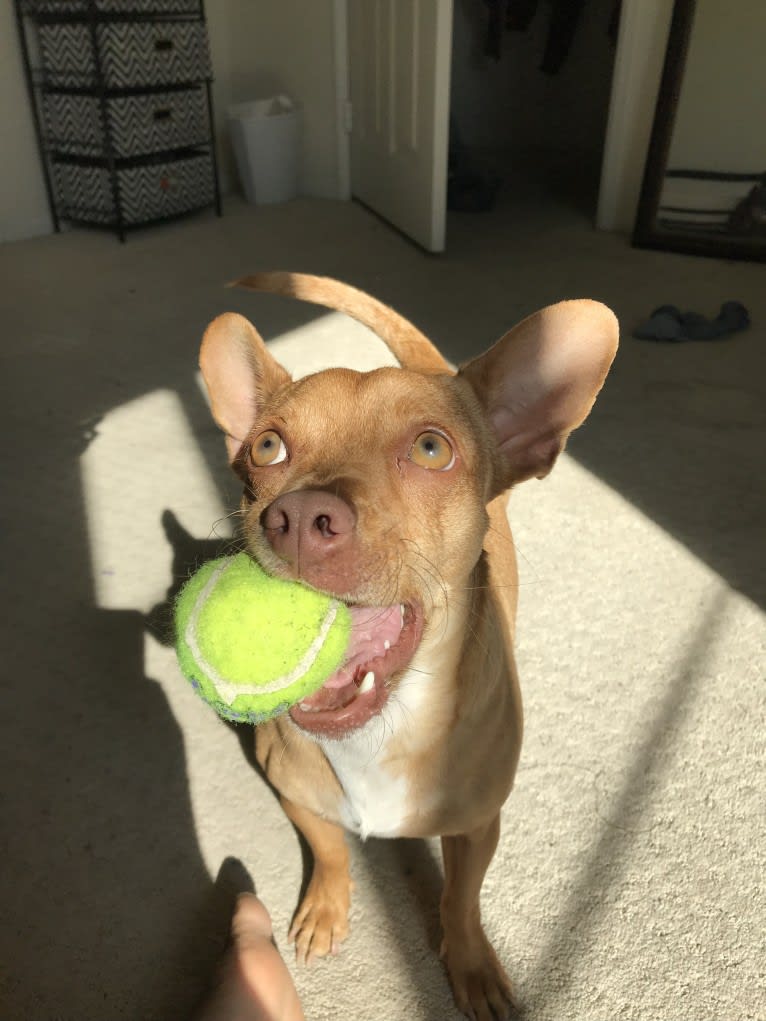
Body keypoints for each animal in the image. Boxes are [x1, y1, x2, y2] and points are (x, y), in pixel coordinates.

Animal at [198, 273, 616, 1021]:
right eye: (268, 447)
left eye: (431, 449)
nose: (299, 517)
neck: (379, 733)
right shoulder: (296, 795)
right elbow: (331, 848)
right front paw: (327, 905)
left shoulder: (477, 827)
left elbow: (460, 900)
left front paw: (470, 963)